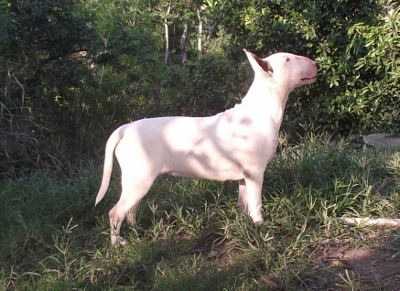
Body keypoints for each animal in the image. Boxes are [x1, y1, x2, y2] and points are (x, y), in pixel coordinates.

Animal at [95, 49, 318, 245]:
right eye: (288, 59)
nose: (316, 63)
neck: (262, 110)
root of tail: (126, 128)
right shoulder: (255, 173)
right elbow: (256, 205)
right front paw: (260, 229)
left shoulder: (244, 176)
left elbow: (244, 203)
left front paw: (244, 224)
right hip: (139, 179)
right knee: (115, 212)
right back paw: (118, 245)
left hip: (136, 181)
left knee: (130, 209)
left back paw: (135, 231)